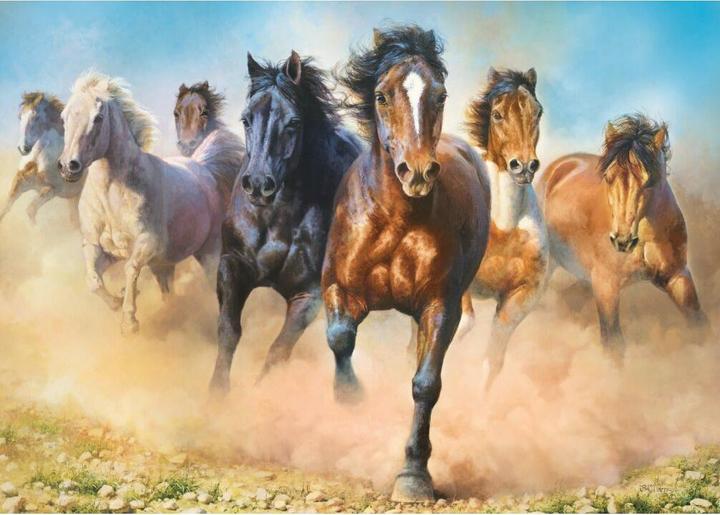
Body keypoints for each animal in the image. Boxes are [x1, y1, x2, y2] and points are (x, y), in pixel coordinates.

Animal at [1, 92, 83, 224]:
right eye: (20, 117)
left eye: (37, 117)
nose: (23, 148)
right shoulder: (21, 180)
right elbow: (5, 207)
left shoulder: (51, 189)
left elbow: (30, 210)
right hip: (72, 197)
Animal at [58, 71, 243, 334]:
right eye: (63, 118)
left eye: (98, 118)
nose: (68, 166)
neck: (111, 196)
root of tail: (203, 166)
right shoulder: (98, 247)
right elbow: (93, 280)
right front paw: (117, 301)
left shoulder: (147, 244)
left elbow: (130, 269)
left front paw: (129, 322)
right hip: (164, 265)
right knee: (169, 294)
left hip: (209, 252)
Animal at [208, 51, 362, 392]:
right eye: (246, 119)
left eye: (293, 122)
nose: (257, 184)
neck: (274, 219)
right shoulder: (231, 266)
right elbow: (228, 331)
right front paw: (216, 396)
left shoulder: (308, 296)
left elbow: (278, 350)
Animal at [323, 26, 490, 502]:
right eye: (381, 95)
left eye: (441, 94)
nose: (417, 173)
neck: (397, 218)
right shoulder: (339, 287)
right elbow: (339, 337)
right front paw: (350, 400)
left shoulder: (440, 306)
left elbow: (425, 383)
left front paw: (413, 476)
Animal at [539, 114, 709, 354]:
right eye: (609, 177)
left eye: (649, 180)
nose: (622, 241)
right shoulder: (606, 286)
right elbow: (613, 343)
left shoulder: (678, 276)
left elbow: (699, 325)